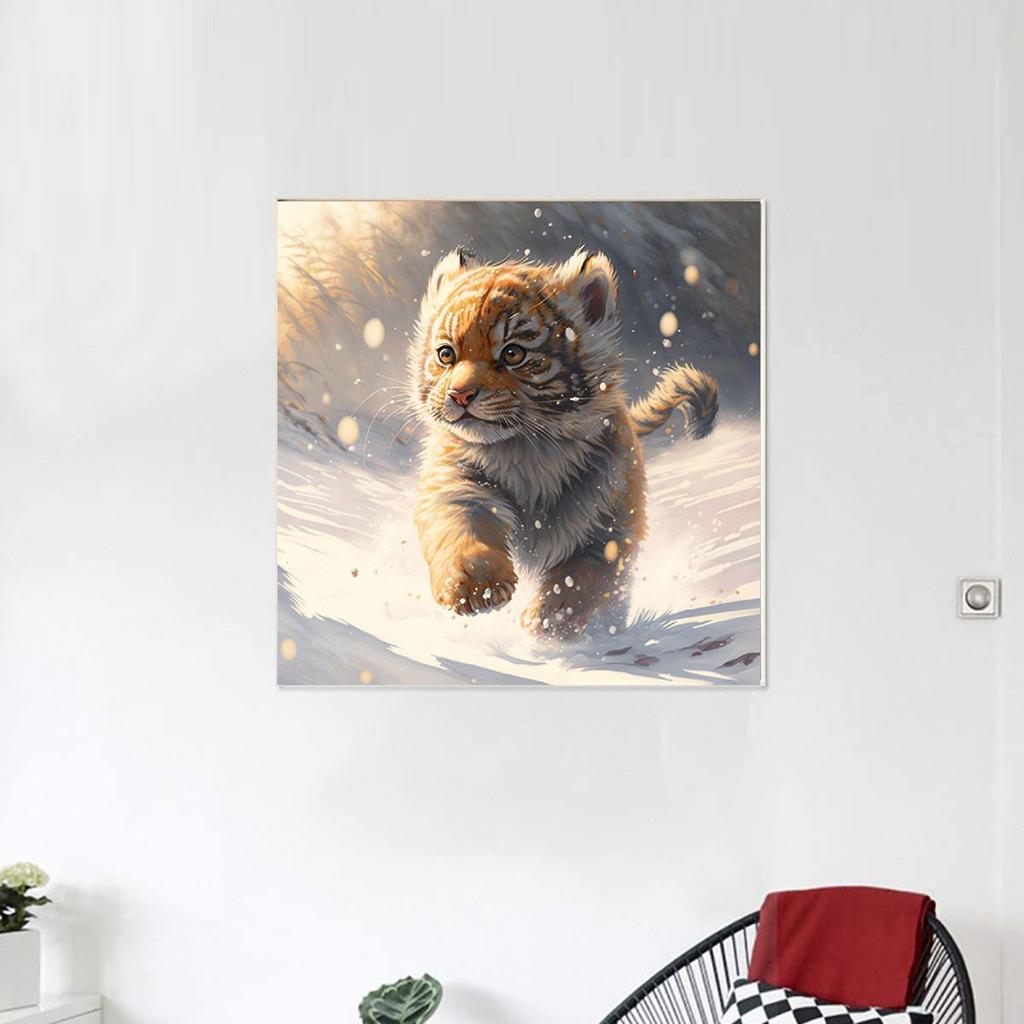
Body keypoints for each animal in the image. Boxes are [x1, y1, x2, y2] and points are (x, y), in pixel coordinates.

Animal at [409, 246, 718, 640]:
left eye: (513, 354)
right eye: (446, 354)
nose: (460, 394)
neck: (526, 451)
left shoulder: (610, 526)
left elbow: (583, 575)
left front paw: (549, 620)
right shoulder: (455, 486)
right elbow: (460, 528)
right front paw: (477, 589)